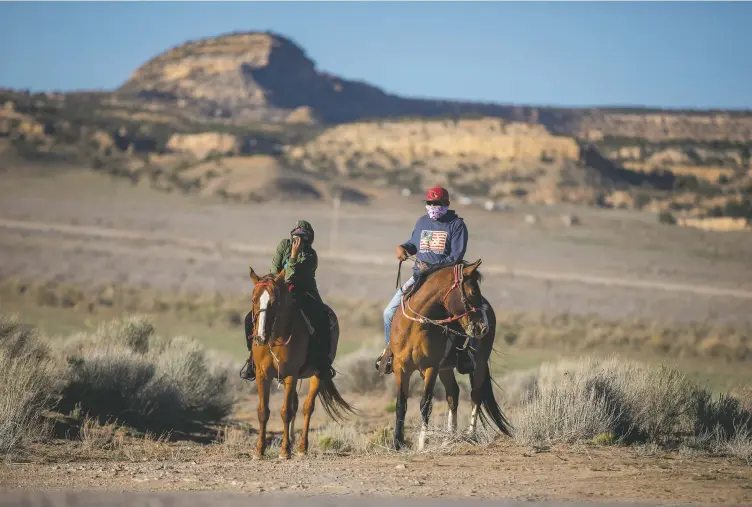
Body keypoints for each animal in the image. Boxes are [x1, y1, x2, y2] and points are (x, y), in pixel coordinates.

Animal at [245, 270, 354, 460]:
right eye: (253, 299)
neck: (275, 337)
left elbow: (286, 412)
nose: (260, 337)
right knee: (296, 405)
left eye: (274, 301)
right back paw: (292, 440)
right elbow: (263, 411)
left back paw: (302, 448)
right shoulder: (262, 375)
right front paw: (259, 450)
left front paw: (284, 451)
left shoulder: (291, 374)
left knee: (307, 407)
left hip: (317, 374)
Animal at [388, 260, 512, 450]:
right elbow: (401, 404)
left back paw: (470, 435)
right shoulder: (401, 368)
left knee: (475, 395)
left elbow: (425, 404)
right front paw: (397, 443)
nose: (483, 327)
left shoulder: (430, 368)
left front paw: (422, 442)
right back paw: (449, 438)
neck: (415, 328)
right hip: (445, 369)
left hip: (479, 364)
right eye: (473, 291)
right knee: (453, 394)